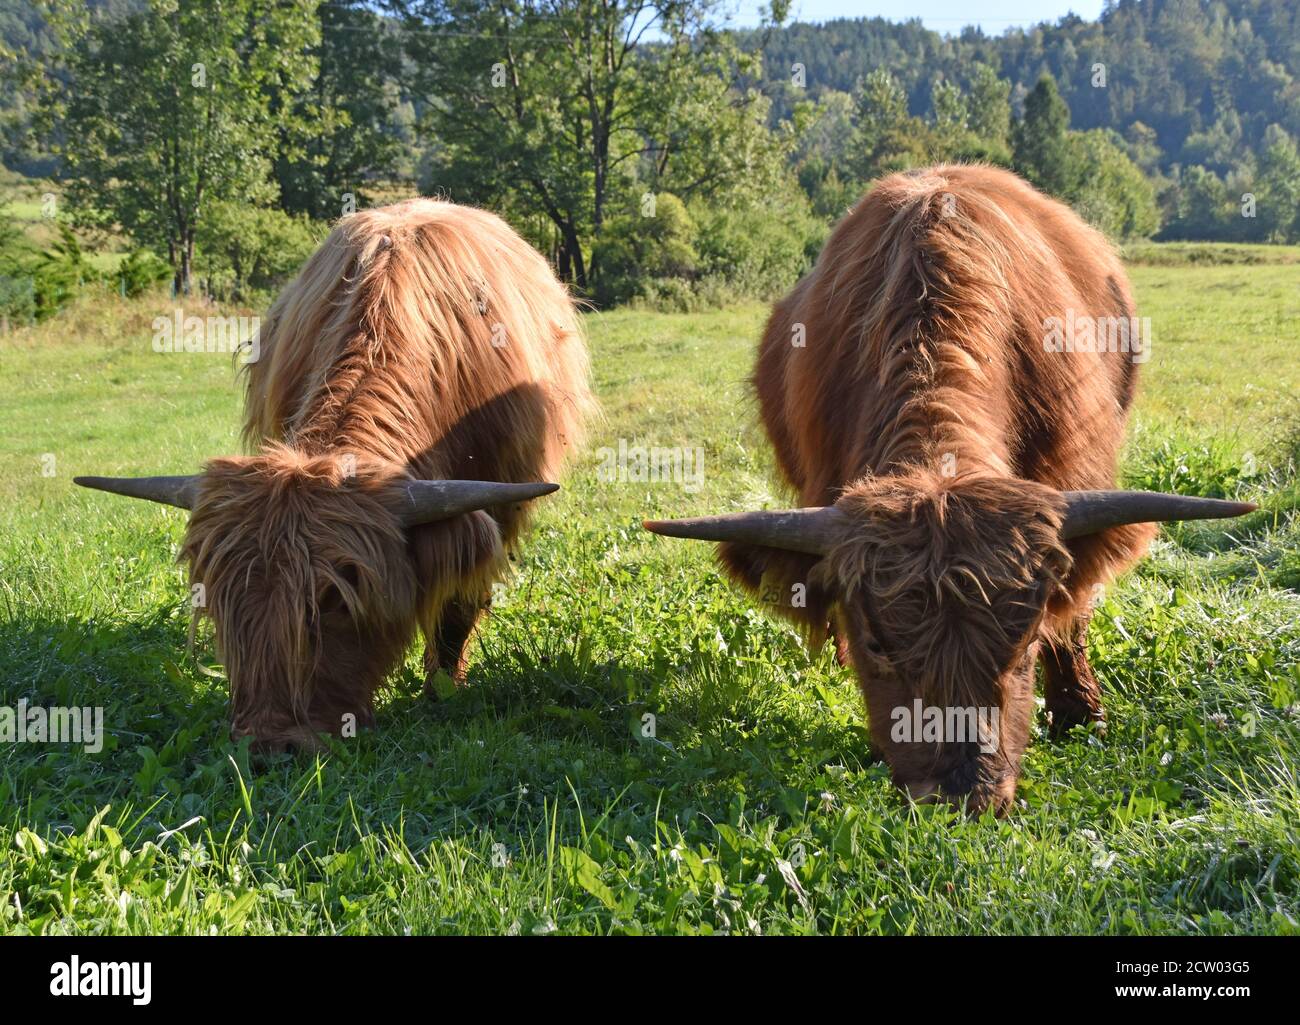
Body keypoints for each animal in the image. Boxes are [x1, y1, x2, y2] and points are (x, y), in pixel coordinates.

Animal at [77, 199, 594, 752]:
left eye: (337, 598)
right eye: (219, 596)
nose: (270, 744)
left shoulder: (496, 504)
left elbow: (458, 606)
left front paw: (443, 692)